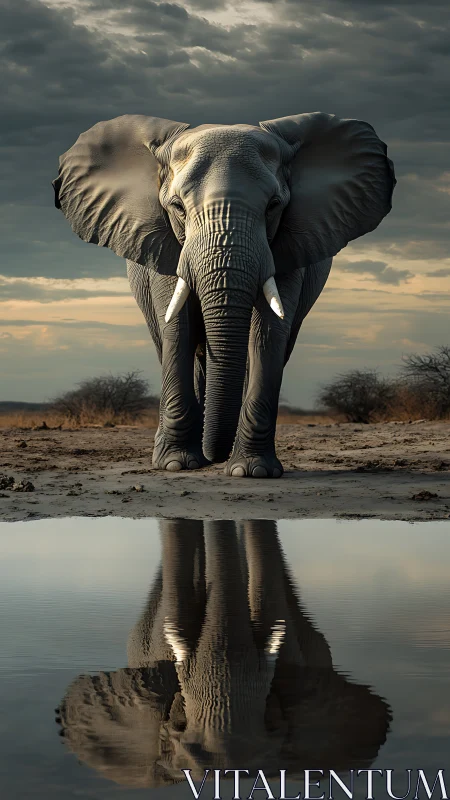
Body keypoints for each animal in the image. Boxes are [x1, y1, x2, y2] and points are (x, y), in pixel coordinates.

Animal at [52, 112, 395, 478]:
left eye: (274, 206)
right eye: (177, 207)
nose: (214, 456)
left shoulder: (291, 243)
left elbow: (268, 334)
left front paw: (253, 471)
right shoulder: (162, 242)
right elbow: (178, 328)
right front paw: (176, 464)